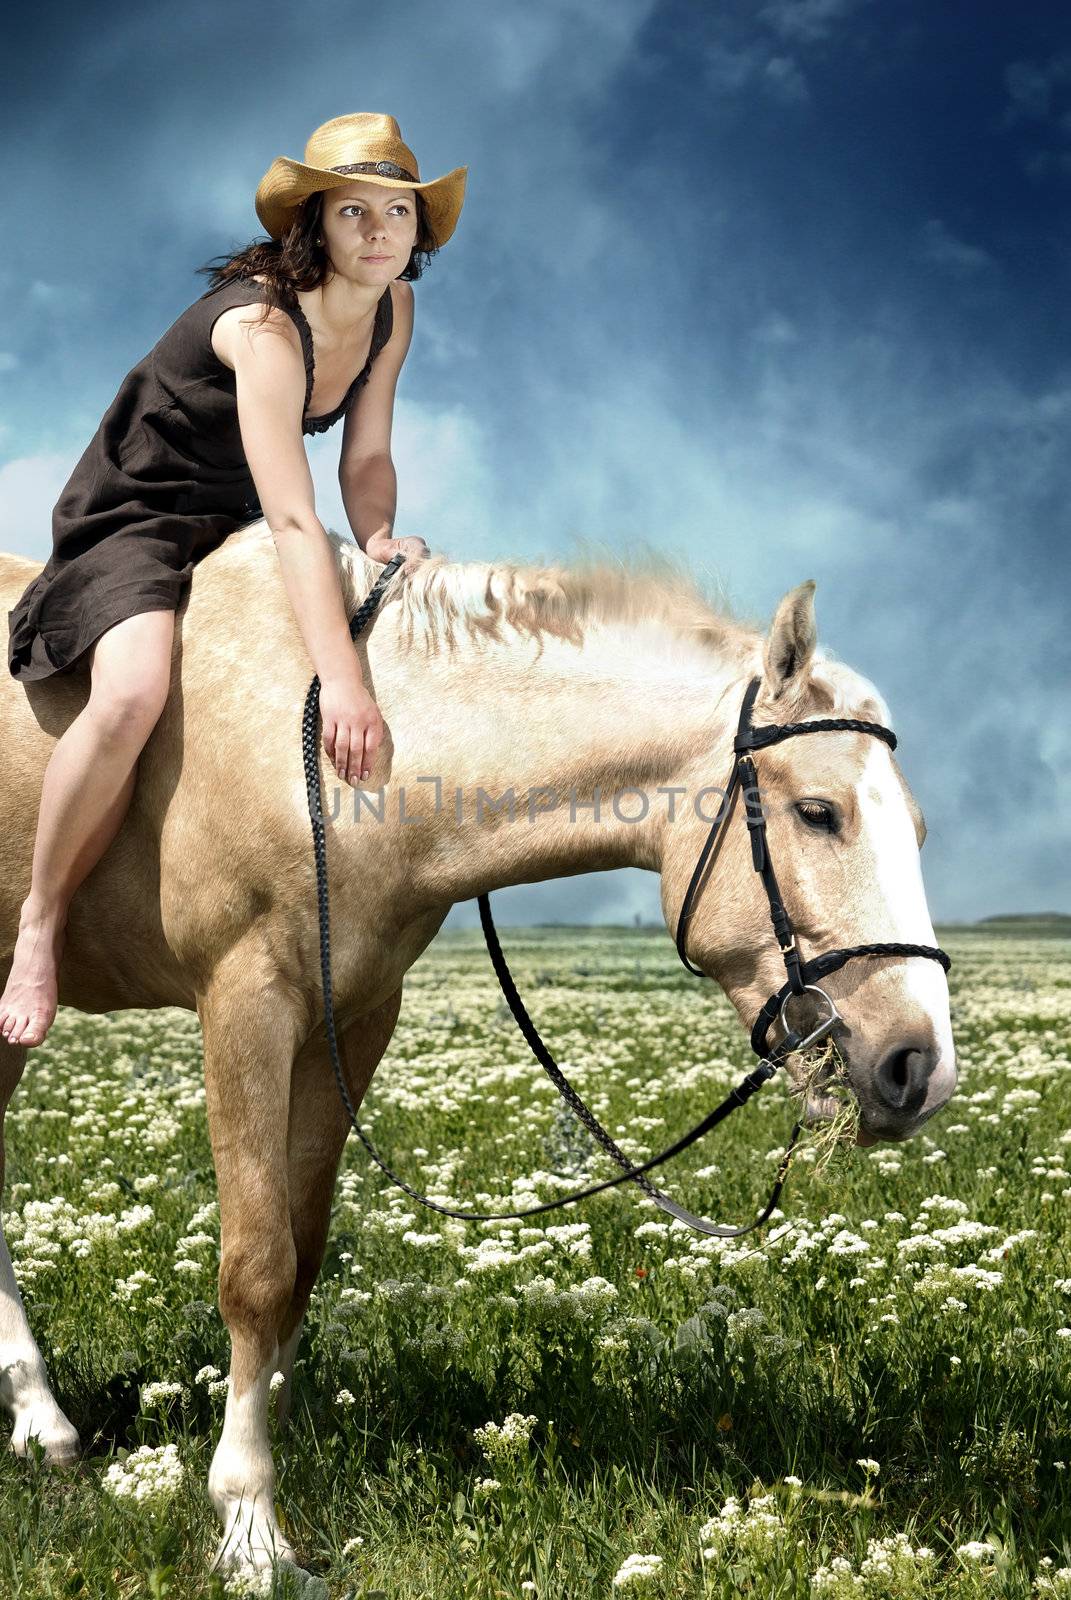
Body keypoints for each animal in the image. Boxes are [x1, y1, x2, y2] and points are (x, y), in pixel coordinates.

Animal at [0, 521, 954, 1574]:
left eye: (915, 829)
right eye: (819, 812)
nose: (918, 1069)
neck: (348, 753)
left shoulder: (350, 1018)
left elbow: (303, 1251)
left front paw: (277, 1447)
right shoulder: (245, 1003)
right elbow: (256, 1267)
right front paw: (248, 1523)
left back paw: (41, 1421)